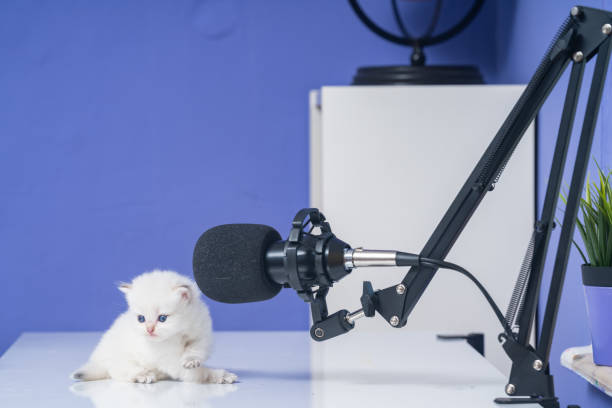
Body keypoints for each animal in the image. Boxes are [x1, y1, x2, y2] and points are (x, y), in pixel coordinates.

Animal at [70, 270, 235, 384]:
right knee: (121, 372)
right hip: (121, 359)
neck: (179, 333)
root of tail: (98, 361)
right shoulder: (167, 358)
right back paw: (143, 375)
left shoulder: (200, 334)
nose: (149, 329)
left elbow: (195, 350)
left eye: (162, 318)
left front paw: (191, 360)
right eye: (141, 319)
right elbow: (198, 373)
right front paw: (219, 376)